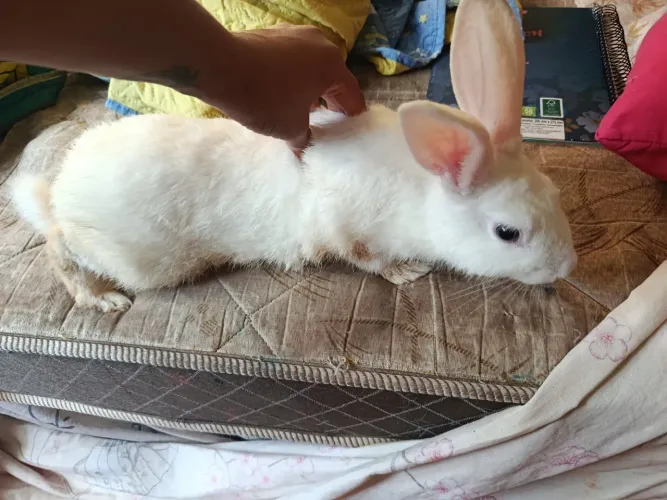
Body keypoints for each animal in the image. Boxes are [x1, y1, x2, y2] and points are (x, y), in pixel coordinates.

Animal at [10, 0, 576, 312]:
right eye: (508, 233)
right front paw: (407, 272)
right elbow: (367, 259)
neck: (423, 191)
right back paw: (101, 299)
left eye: (556, 195)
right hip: (139, 259)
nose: (567, 267)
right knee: (59, 248)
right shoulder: (345, 228)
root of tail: (59, 193)